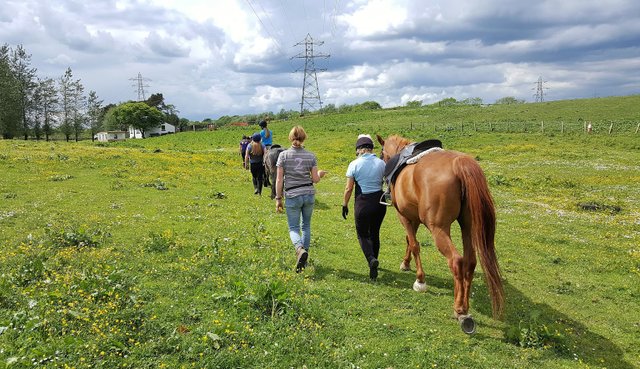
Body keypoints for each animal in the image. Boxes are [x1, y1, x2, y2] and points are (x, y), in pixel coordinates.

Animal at [378, 134, 502, 330]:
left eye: (382, 153)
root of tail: (460, 164)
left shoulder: (404, 216)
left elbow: (414, 244)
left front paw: (420, 280)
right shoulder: (413, 218)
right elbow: (409, 241)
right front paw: (406, 263)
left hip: (439, 229)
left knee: (456, 261)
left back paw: (459, 309)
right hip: (467, 227)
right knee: (470, 262)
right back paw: (464, 307)